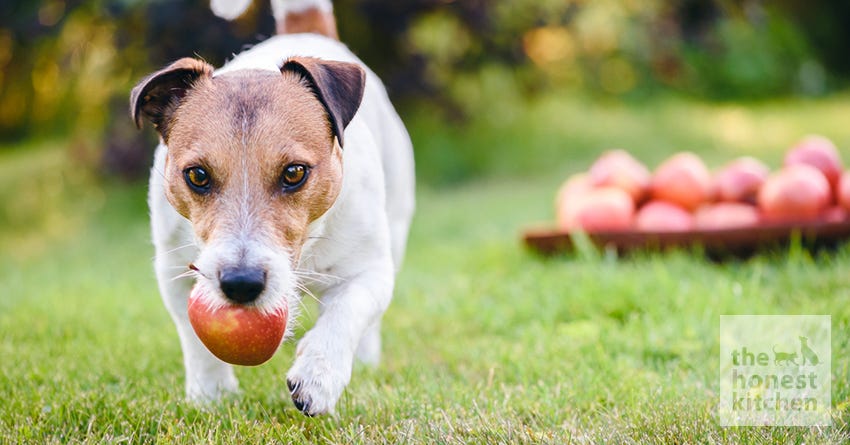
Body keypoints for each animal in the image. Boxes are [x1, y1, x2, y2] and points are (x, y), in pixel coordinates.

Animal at [128, 0, 414, 416]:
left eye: (294, 172)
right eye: (197, 175)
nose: (241, 283)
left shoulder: (370, 269)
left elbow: (348, 310)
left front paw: (319, 375)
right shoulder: (173, 271)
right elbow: (196, 339)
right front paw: (211, 395)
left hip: (397, 222)